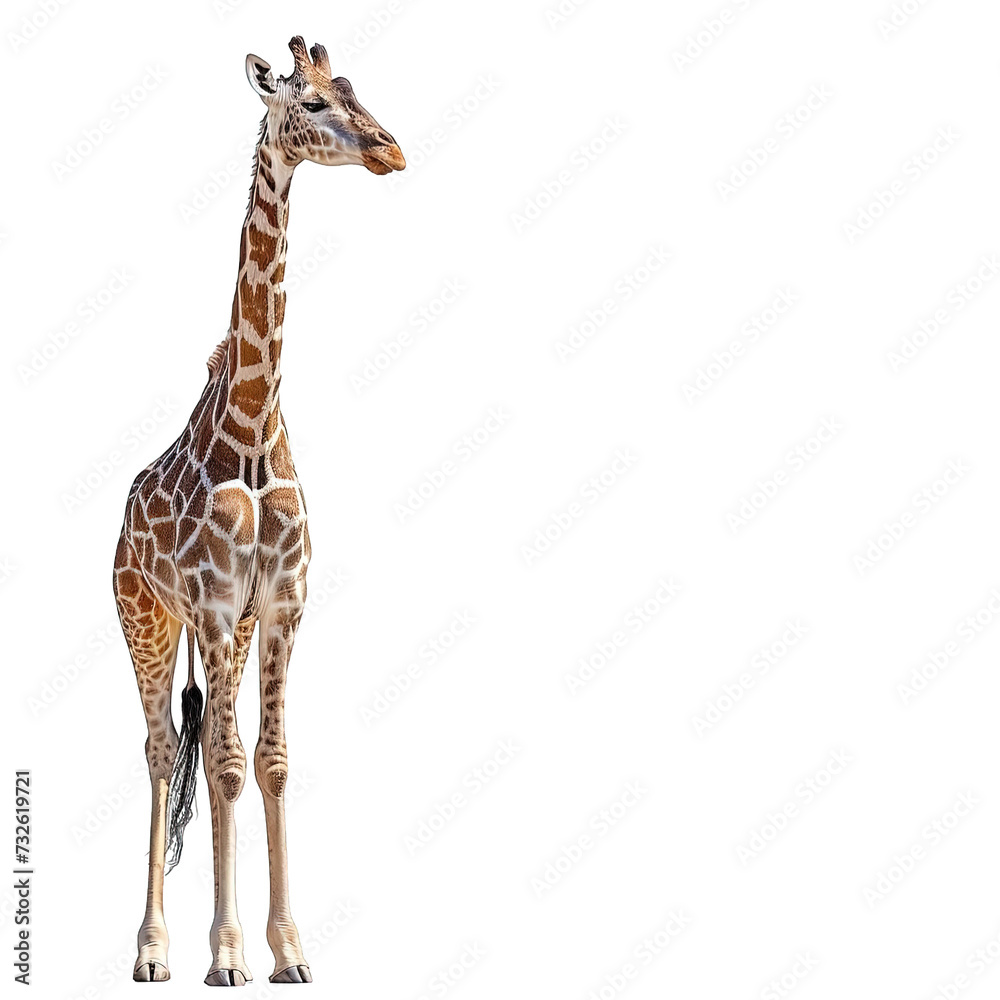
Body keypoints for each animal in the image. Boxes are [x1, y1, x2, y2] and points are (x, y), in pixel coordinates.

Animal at [112, 36, 404, 986]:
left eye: (351, 89)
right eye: (308, 103)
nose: (389, 148)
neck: (251, 420)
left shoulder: (278, 603)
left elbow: (266, 762)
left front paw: (289, 951)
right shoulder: (206, 602)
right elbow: (227, 764)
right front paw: (227, 954)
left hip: (227, 634)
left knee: (208, 747)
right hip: (146, 619)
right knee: (162, 750)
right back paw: (152, 950)